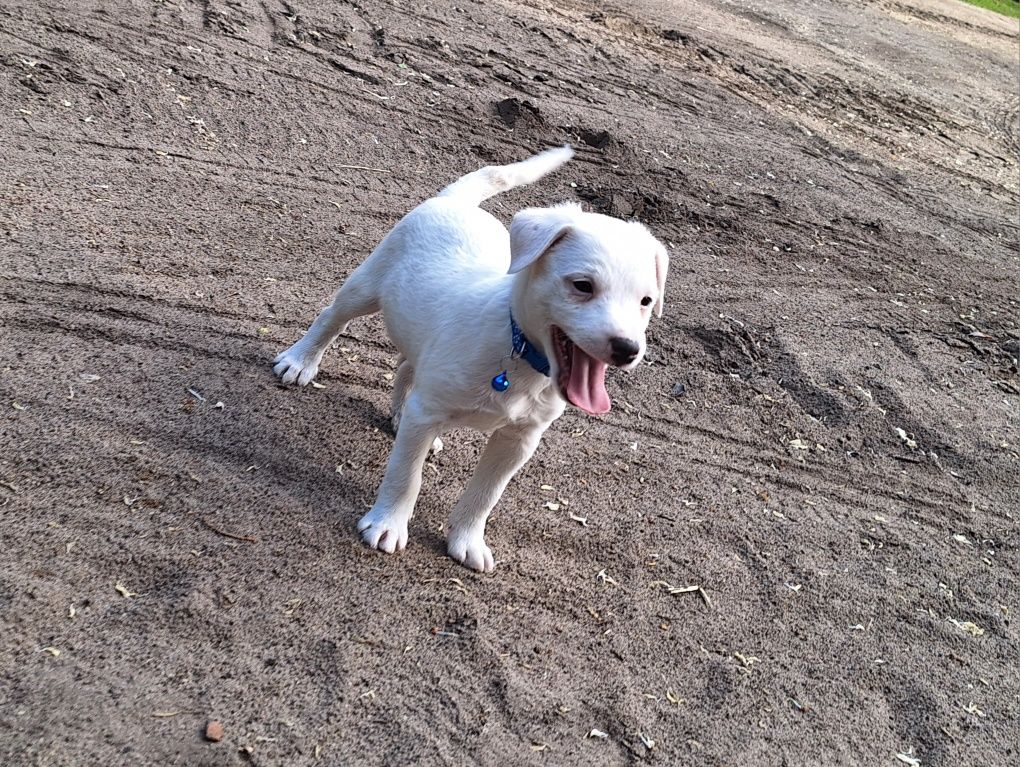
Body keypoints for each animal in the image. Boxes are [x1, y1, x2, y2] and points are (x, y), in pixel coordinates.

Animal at [275, 146, 665, 571]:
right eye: (582, 285)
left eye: (646, 301)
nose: (627, 349)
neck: (518, 354)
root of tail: (456, 201)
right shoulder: (428, 413)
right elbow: (406, 475)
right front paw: (387, 524)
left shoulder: (518, 441)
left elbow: (484, 496)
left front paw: (467, 540)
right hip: (366, 288)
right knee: (331, 317)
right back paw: (301, 360)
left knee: (407, 367)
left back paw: (398, 414)